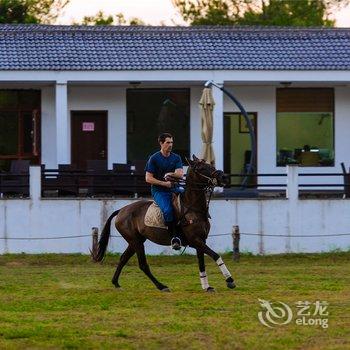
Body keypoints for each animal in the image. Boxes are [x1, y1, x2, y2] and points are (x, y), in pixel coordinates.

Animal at [96, 156, 235, 292]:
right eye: (201, 168)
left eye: (211, 165)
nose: (224, 177)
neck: (194, 209)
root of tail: (121, 210)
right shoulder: (195, 240)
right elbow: (215, 255)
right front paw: (229, 280)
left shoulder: (201, 240)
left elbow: (201, 263)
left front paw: (207, 286)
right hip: (136, 241)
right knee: (142, 265)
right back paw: (161, 286)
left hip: (135, 241)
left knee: (123, 258)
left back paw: (116, 283)